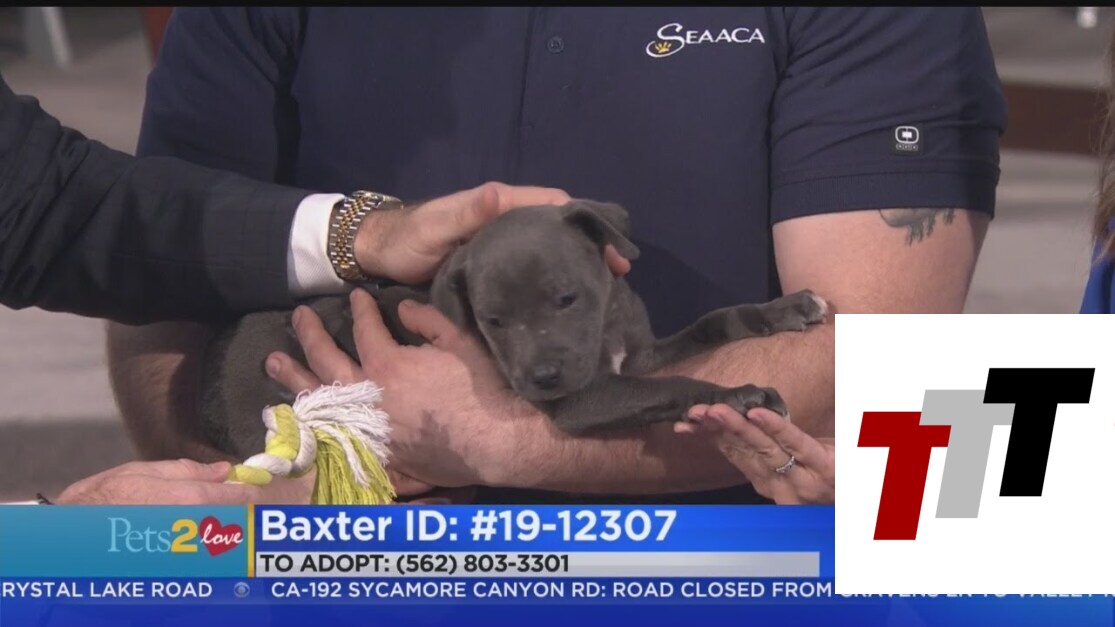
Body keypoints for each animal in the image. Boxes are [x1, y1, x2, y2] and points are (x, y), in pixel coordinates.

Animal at [198, 200, 827, 460]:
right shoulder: (585, 400)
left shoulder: (641, 355)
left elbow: (711, 322)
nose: (542, 378)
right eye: (492, 322)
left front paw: (784, 308)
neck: (606, 329)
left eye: (567, 299)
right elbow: (669, 388)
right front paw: (739, 396)